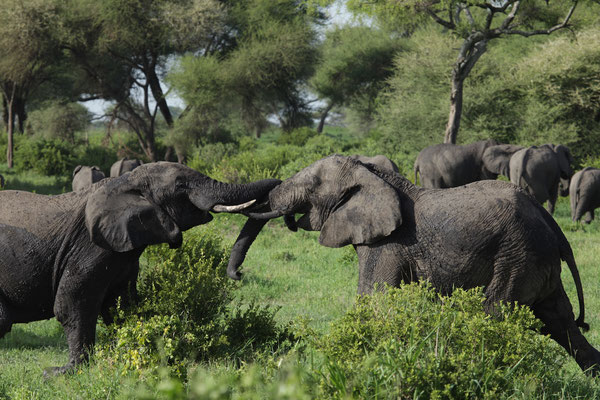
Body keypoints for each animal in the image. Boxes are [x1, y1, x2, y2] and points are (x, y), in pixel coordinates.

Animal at [0, 162, 280, 376]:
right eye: (180, 186)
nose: (238, 274)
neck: (126, 182)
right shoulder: (89, 245)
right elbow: (72, 303)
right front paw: (63, 373)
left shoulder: (123, 252)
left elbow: (122, 307)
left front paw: (129, 355)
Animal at [236, 155, 600, 376]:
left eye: (310, 187)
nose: (236, 274)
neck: (373, 175)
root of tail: (552, 224)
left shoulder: (388, 243)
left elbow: (375, 299)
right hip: (536, 259)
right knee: (561, 321)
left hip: (517, 255)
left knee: (498, 314)